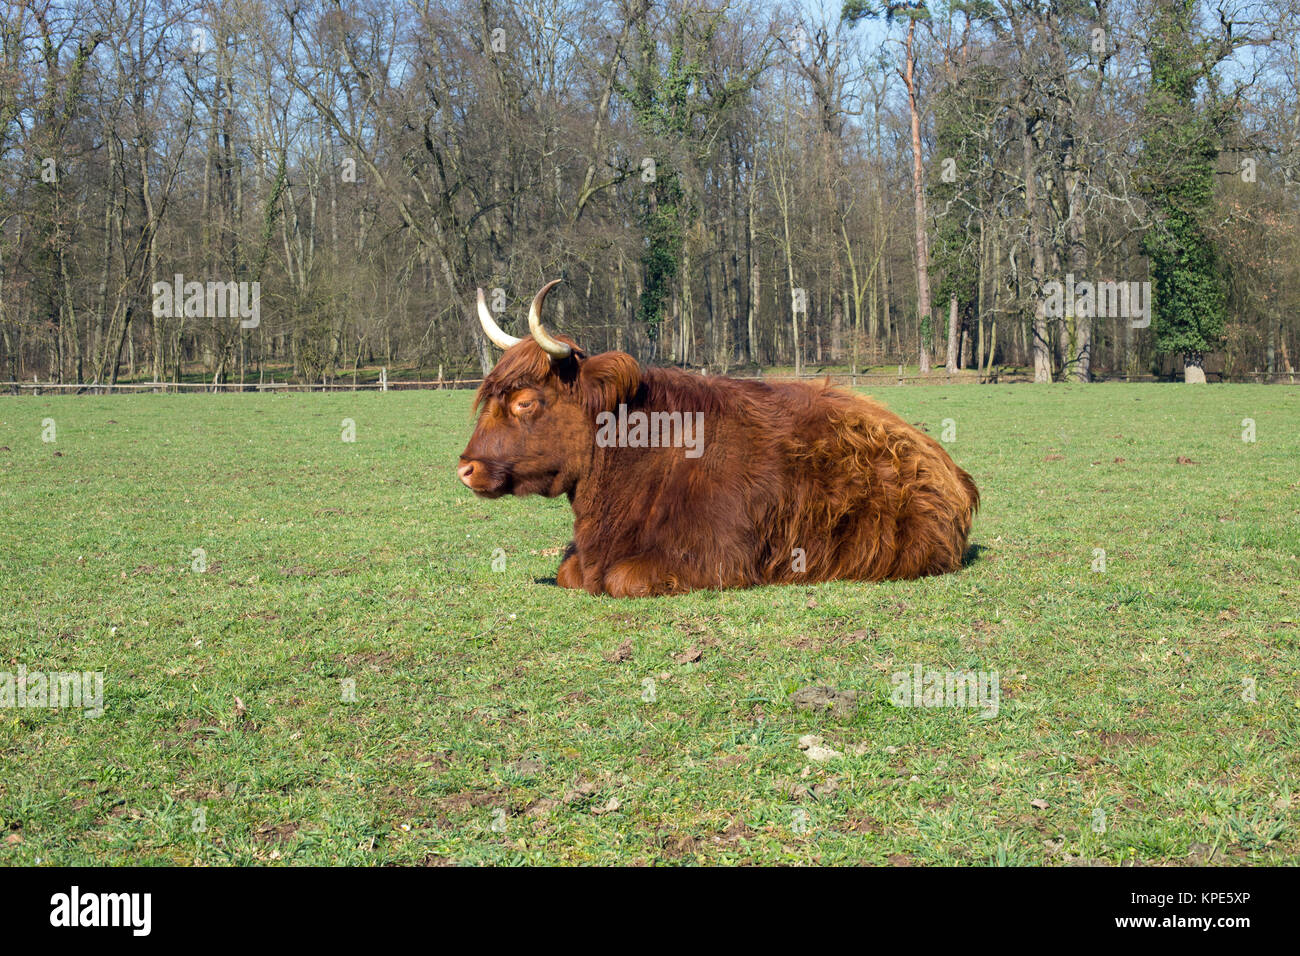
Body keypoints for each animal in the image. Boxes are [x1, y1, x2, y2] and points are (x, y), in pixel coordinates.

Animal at [458, 280, 979, 598]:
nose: (466, 467)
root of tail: (947, 466)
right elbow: (569, 572)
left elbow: (623, 578)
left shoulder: (718, 558)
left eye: (526, 402)